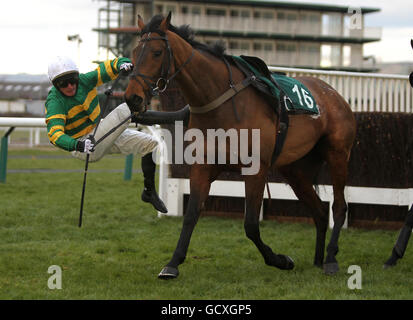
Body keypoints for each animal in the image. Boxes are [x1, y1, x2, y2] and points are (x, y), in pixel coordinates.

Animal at [124, 12, 356, 278]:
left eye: (156, 52)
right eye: (134, 53)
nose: (132, 98)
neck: (220, 101)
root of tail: (333, 93)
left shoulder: (256, 170)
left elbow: (251, 224)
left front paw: (280, 260)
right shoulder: (203, 166)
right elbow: (191, 214)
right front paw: (173, 263)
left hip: (338, 154)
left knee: (339, 207)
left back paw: (330, 258)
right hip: (294, 169)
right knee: (319, 210)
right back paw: (318, 259)